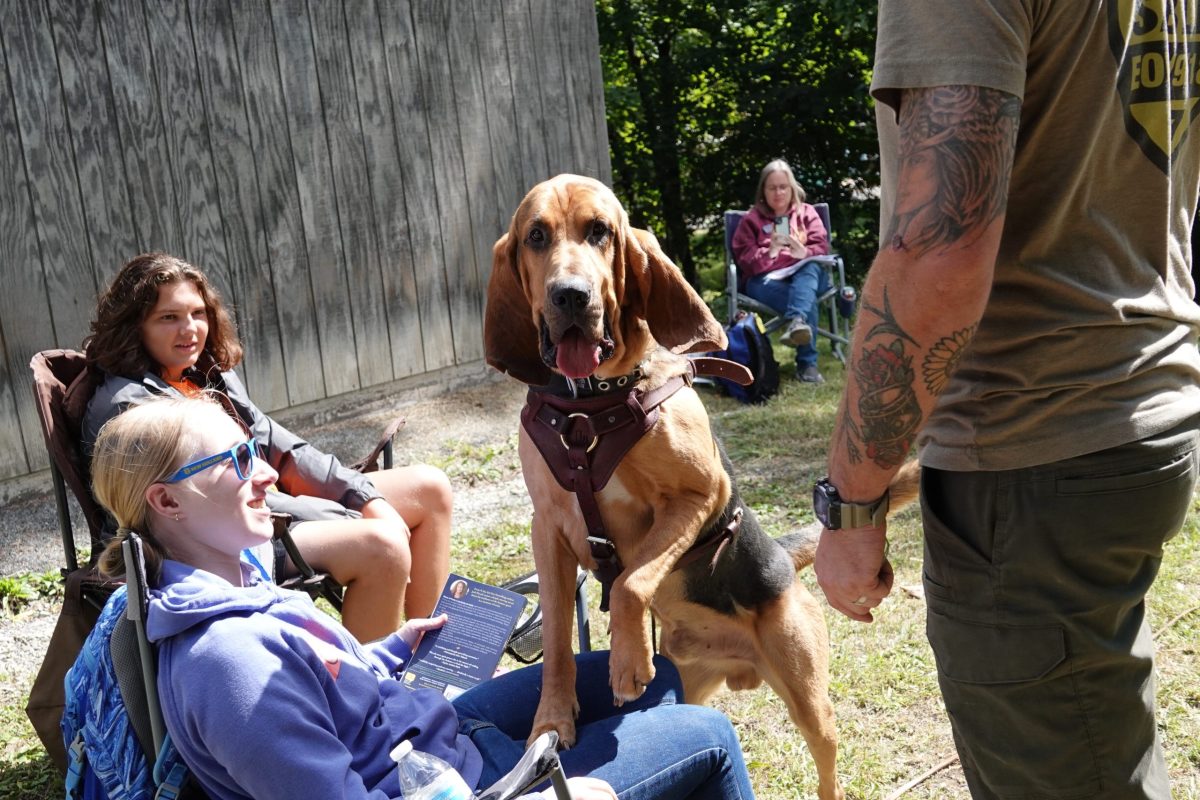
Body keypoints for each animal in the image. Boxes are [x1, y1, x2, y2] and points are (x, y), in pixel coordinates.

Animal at [482, 176, 912, 800]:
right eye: (536, 236)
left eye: (600, 232)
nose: (570, 296)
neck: (591, 406)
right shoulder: (550, 529)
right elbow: (559, 642)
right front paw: (552, 720)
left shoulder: (697, 496)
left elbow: (632, 580)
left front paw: (628, 661)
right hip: (690, 682)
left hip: (811, 703)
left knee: (827, 760)